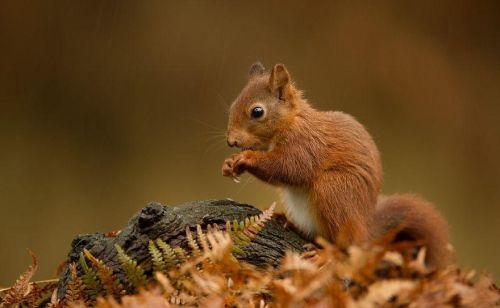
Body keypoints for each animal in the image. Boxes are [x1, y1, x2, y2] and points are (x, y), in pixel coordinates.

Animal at [223, 62, 454, 268]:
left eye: (257, 112)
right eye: (233, 105)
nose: (231, 141)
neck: (291, 121)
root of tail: (365, 227)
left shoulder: (306, 147)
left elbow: (289, 168)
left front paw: (246, 159)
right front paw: (228, 164)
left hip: (334, 190)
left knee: (346, 246)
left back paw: (323, 252)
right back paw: (286, 220)